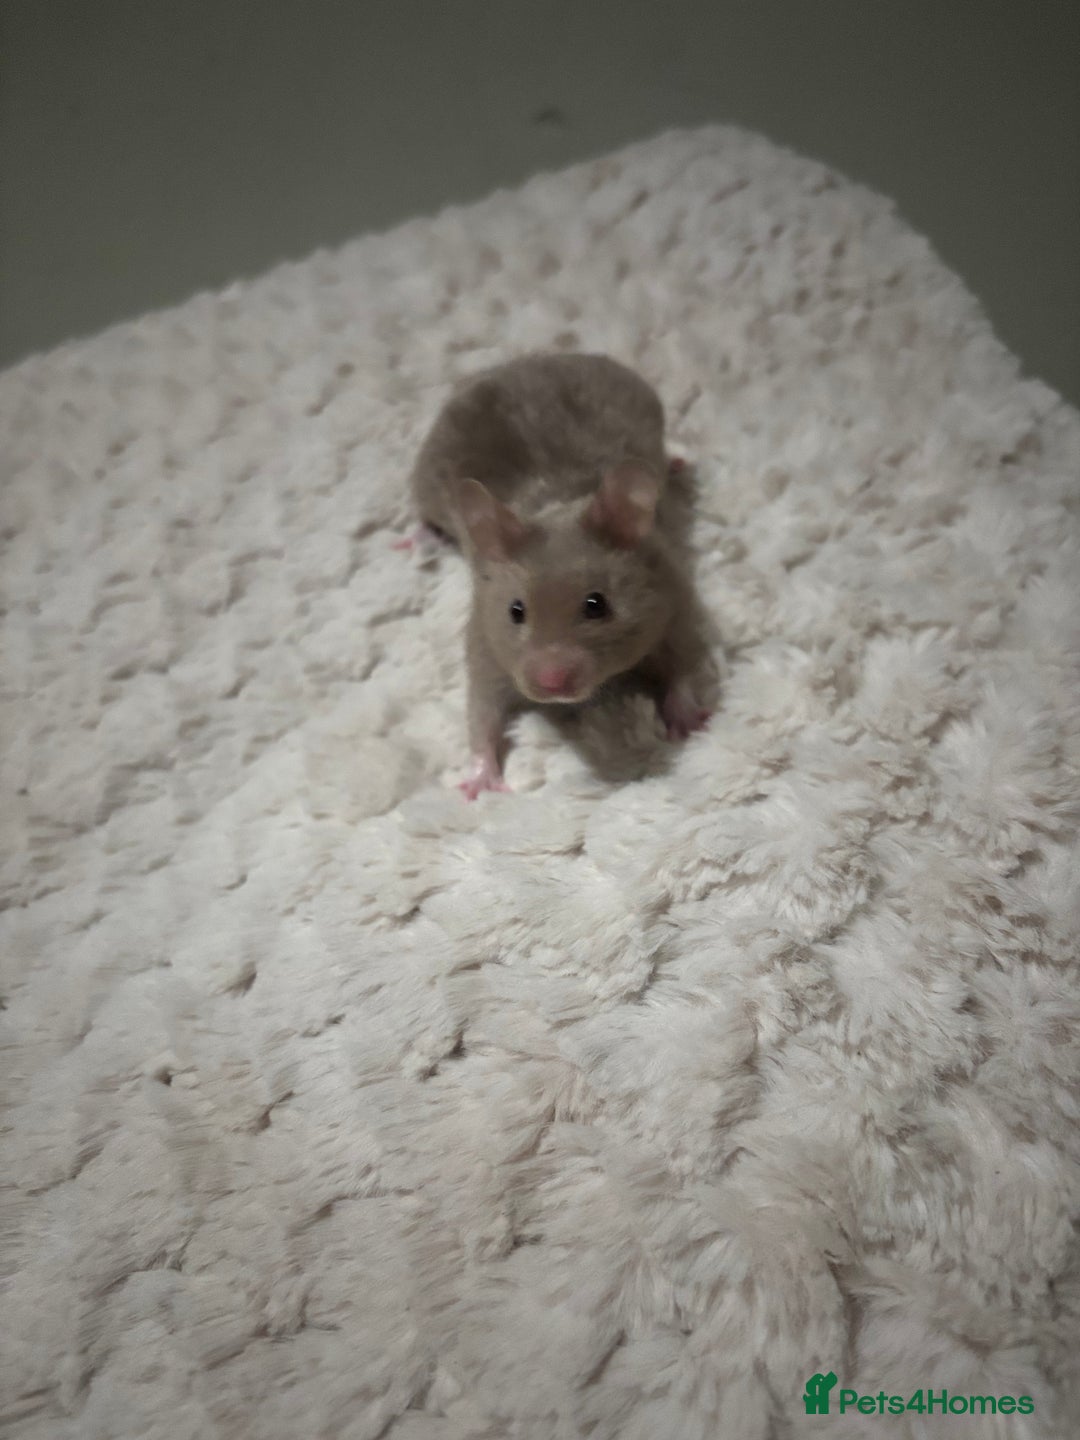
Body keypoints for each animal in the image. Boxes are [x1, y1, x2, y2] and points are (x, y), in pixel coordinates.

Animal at [406, 352, 711, 797]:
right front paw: (479, 785)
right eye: (515, 611)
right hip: (428, 479)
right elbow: (481, 710)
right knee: (425, 516)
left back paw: (675, 462)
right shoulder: (485, 641)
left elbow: (684, 663)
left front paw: (687, 725)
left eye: (596, 605)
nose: (550, 684)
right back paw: (418, 540)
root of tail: (534, 360)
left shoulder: (674, 601)